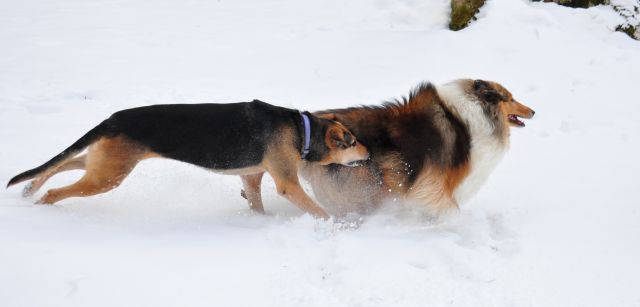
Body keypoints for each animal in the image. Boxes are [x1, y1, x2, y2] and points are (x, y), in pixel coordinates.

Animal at [6, 99, 370, 219]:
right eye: (352, 142)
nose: (368, 155)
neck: (302, 129)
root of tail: (112, 120)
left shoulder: (252, 176)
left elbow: (255, 201)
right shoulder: (287, 184)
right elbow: (318, 210)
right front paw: (339, 225)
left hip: (107, 162)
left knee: (66, 163)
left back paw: (29, 189)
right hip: (108, 174)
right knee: (58, 189)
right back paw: (41, 205)